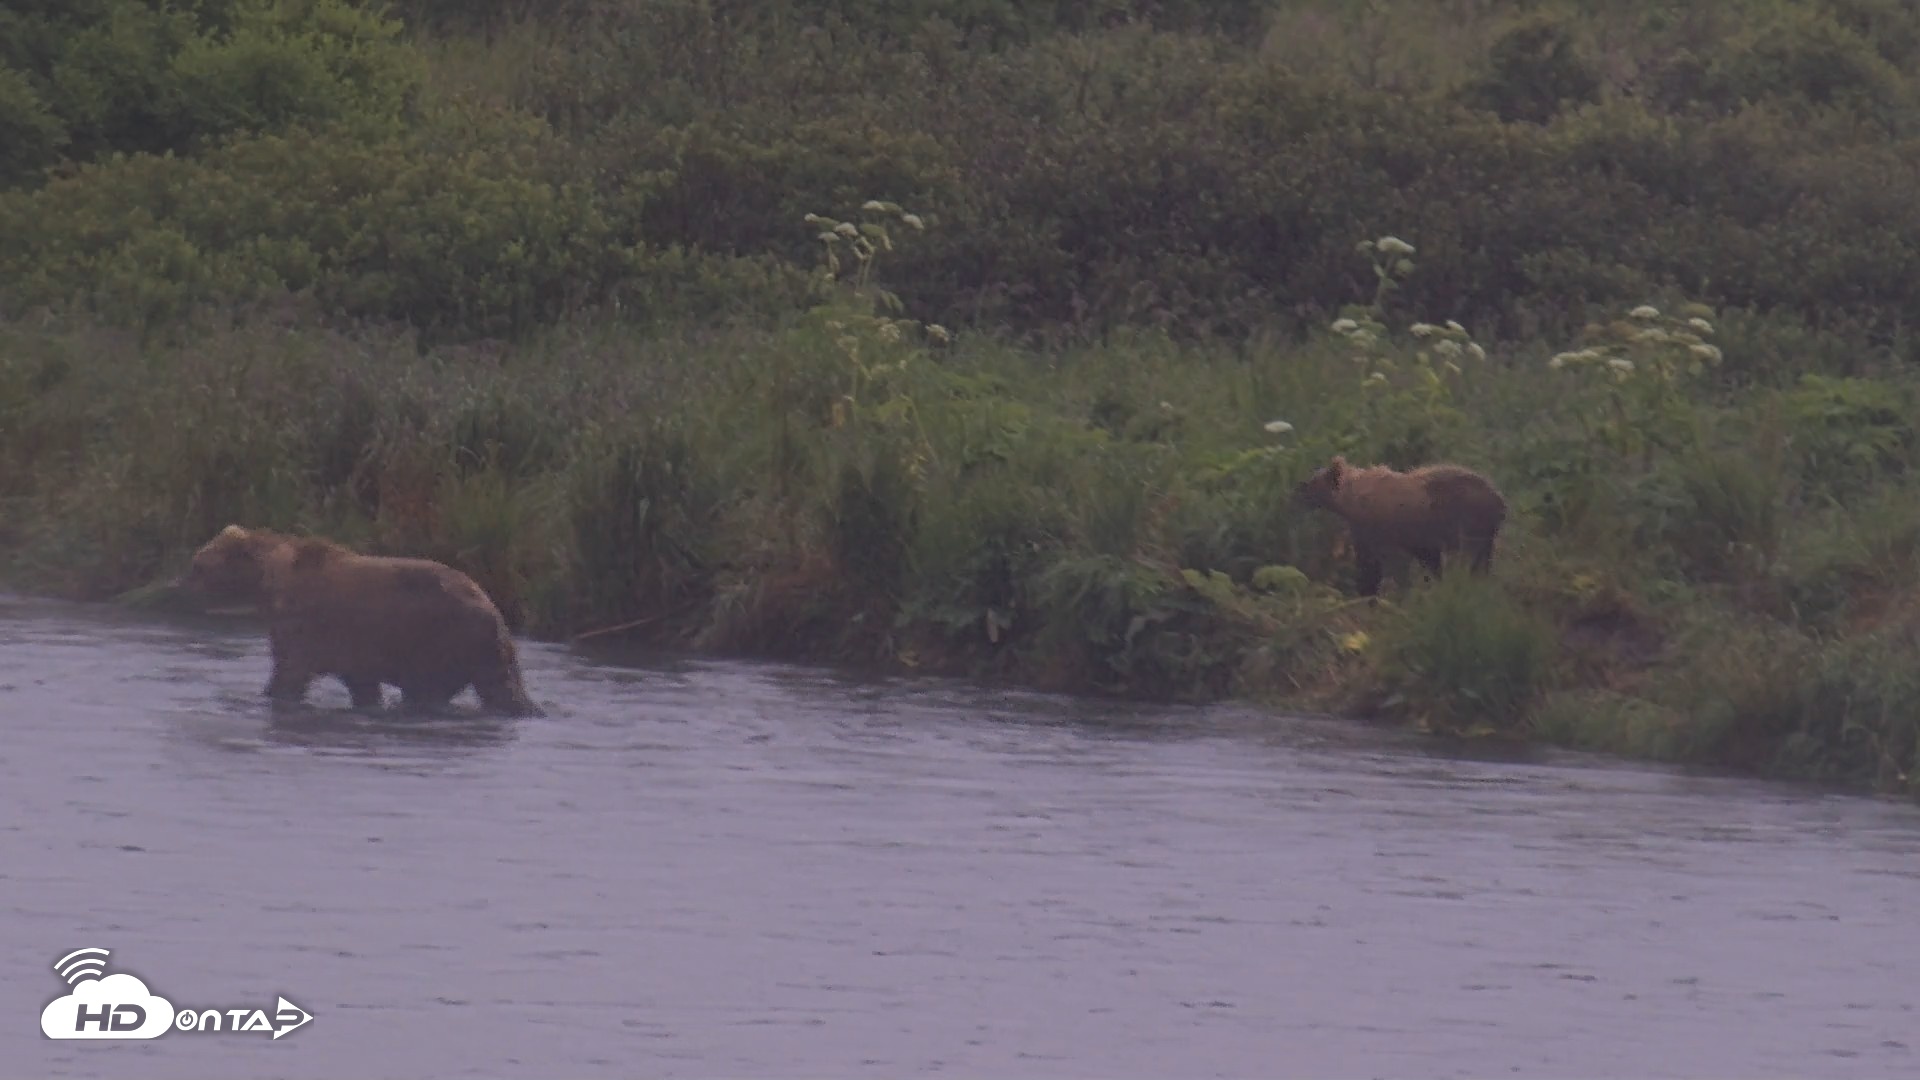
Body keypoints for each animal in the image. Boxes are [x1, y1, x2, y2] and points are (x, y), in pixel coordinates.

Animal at [174, 525, 544, 717]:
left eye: (198, 565)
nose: (181, 585)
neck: (267, 580)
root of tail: (496, 614)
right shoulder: (352, 648)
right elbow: (361, 684)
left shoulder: (305, 623)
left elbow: (289, 672)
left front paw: (269, 695)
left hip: (442, 638)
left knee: (437, 686)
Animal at [1293, 455, 1507, 598]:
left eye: (1314, 482)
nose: (1299, 488)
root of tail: (1499, 501)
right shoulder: (1418, 542)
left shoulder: (1383, 533)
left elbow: (1378, 567)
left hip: (1472, 527)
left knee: (1470, 558)